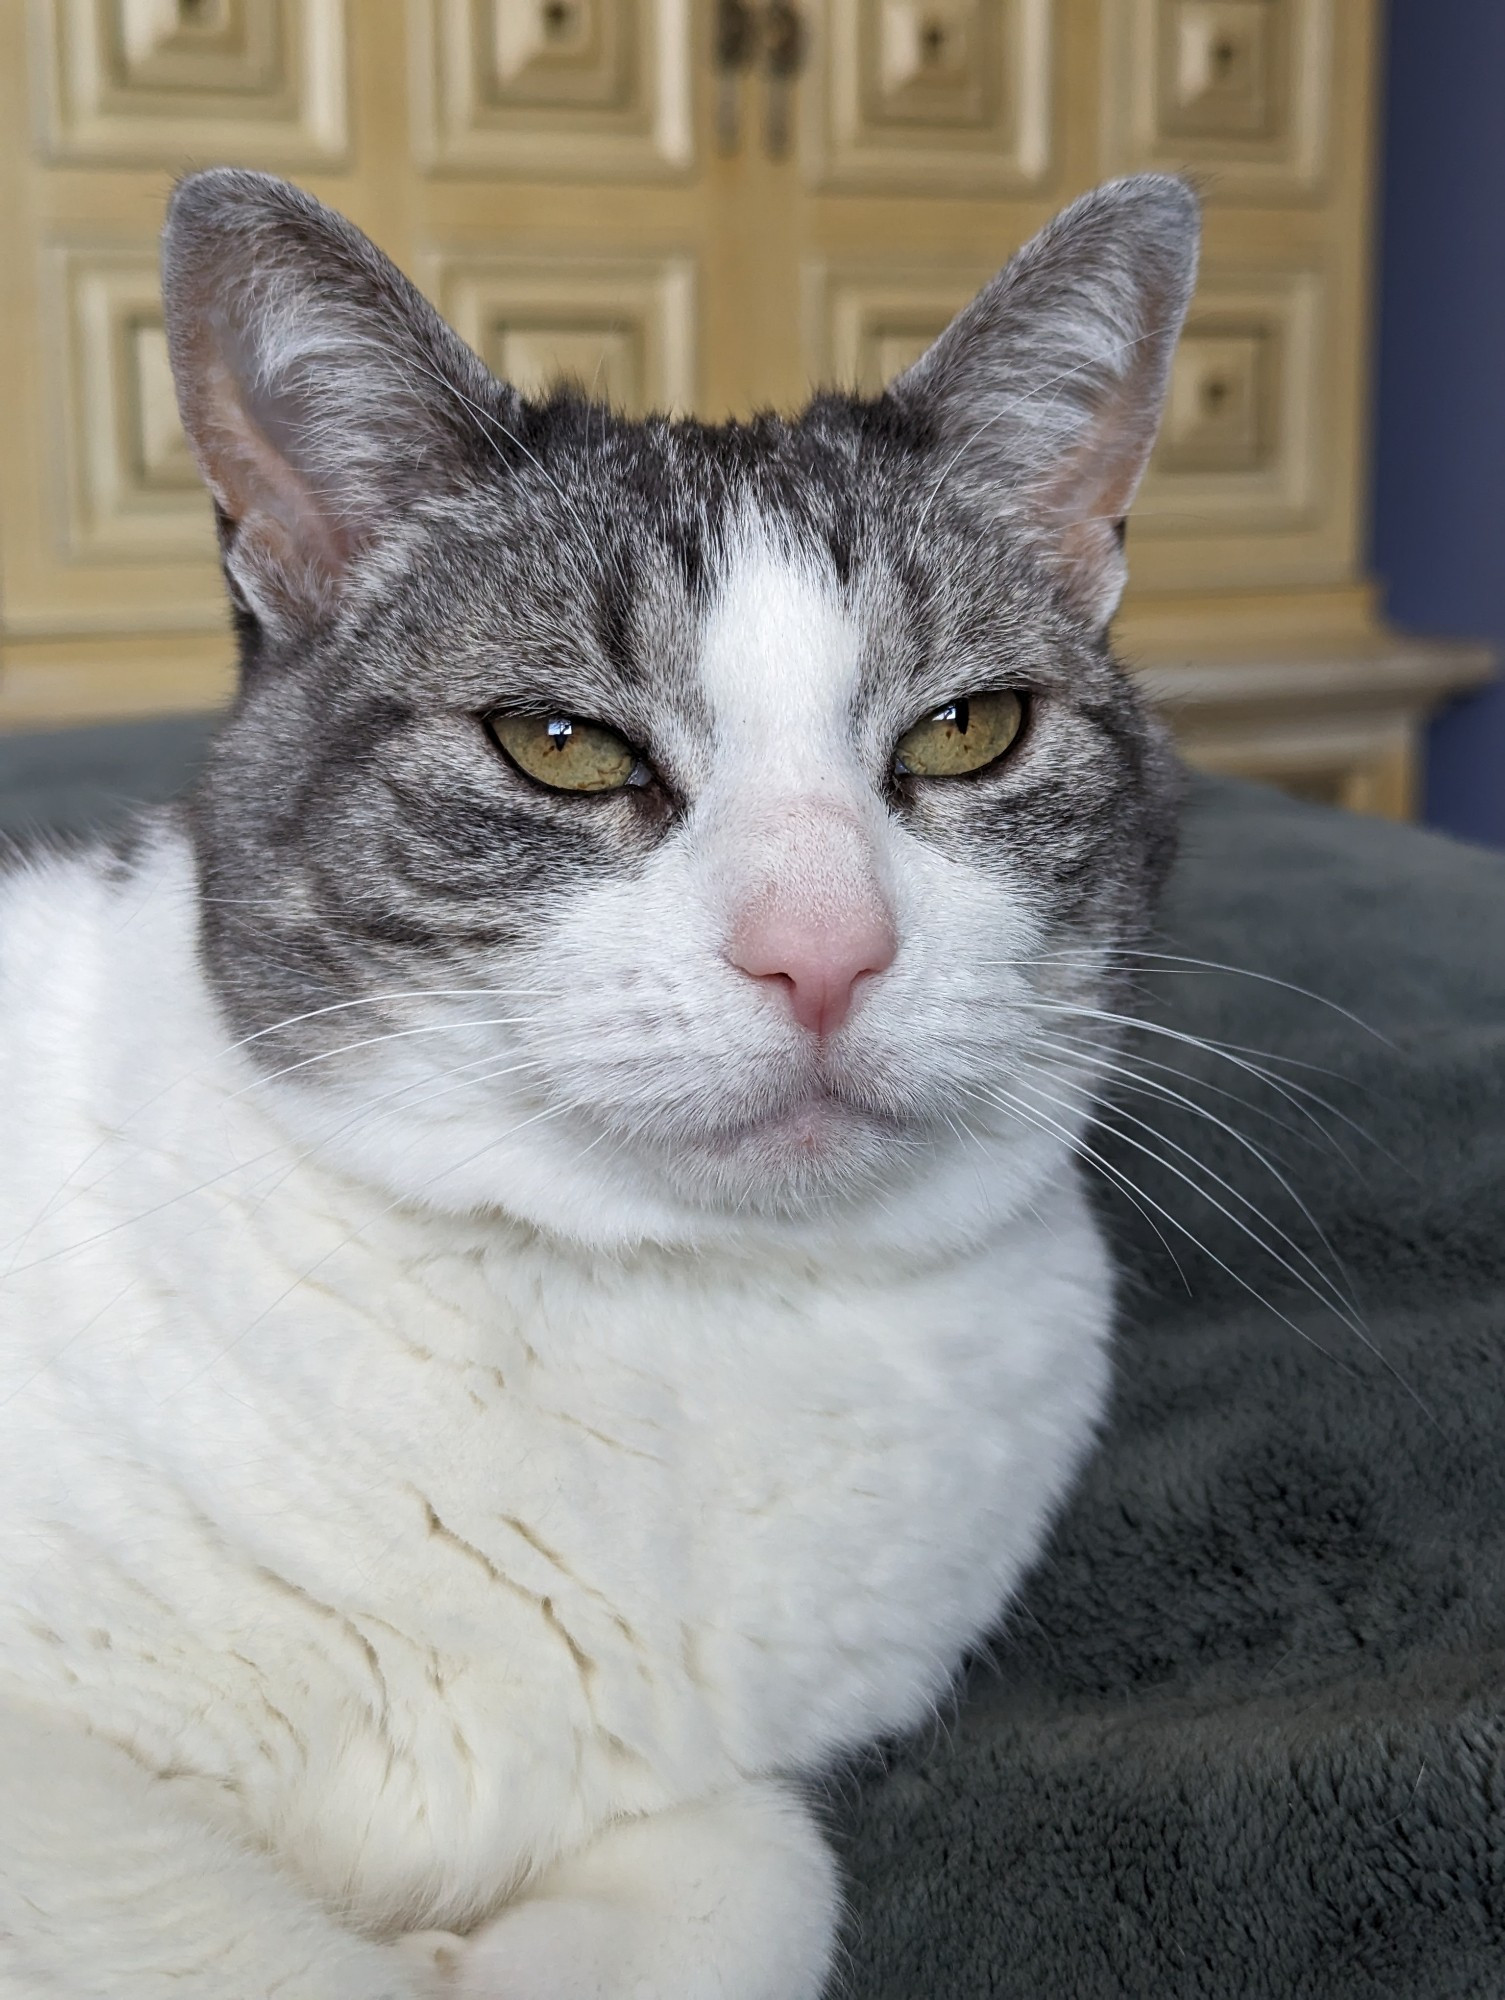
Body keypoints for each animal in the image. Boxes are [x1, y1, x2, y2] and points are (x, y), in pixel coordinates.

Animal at [0, 172, 1200, 2000]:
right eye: (562, 745)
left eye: (967, 731)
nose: (824, 950)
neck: (667, 1307)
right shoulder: (60, 1794)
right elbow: (227, 1941)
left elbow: (761, 1877)